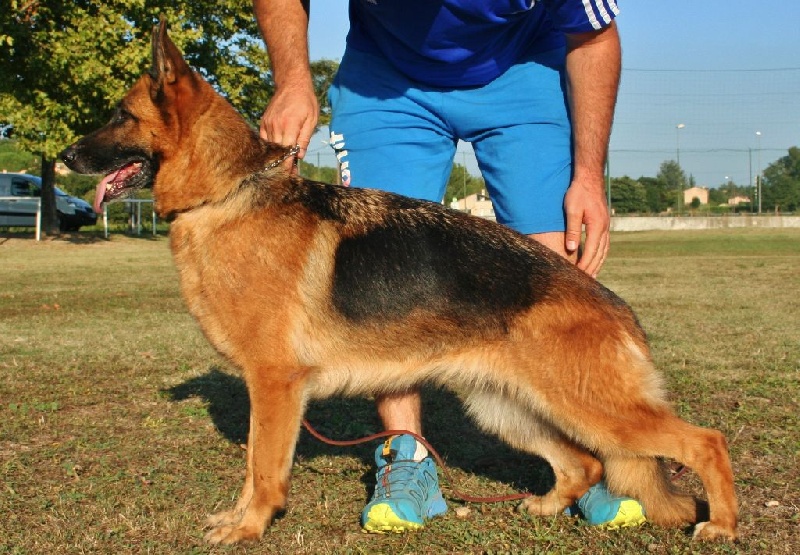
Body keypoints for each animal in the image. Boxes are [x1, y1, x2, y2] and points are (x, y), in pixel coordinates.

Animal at [61, 20, 736, 544]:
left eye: (119, 115)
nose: (64, 157)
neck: (226, 195)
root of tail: (610, 303)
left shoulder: (274, 386)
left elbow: (263, 467)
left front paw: (249, 527)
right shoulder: (268, 388)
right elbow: (254, 466)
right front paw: (239, 518)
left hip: (594, 408)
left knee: (703, 441)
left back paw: (722, 524)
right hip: (508, 407)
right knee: (584, 464)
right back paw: (548, 505)